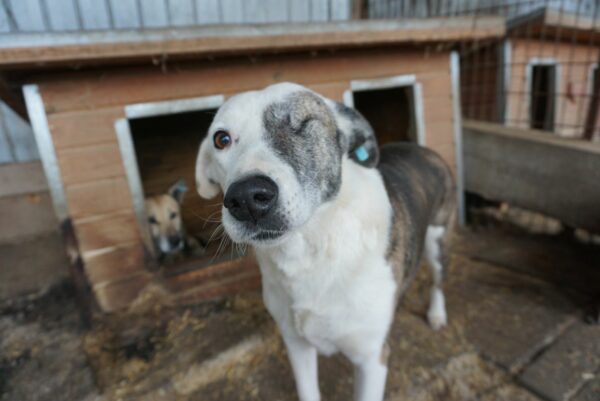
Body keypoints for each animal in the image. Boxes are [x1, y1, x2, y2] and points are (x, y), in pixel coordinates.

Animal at [195, 83, 452, 398]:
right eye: (221, 139)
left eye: (302, 124)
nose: (246, 199)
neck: (308, 253)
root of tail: (420, 147)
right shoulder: (296, 344)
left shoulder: (372, 359)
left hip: (437, 241)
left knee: (438, 280)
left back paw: (437, 314)